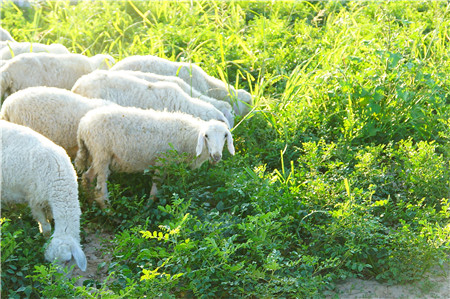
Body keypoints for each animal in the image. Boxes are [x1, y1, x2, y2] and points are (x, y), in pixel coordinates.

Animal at [0, 119, 87, 272]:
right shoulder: (35, 199)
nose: (58, 278)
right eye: (52, 261)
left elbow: (51, 217)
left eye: (68, 261)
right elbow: (46, 227)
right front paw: (45, 237)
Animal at [74, 106, 236, 210]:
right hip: (102, 153)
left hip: (99, 155)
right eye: (206, 136)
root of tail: (83, 125)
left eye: (225, 136)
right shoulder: (162, 162)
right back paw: (108, 211)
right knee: (100, 189)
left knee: (87, 177)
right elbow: (155, 190)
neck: (188, 137)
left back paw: (91, 202)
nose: (216, 156)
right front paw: (147, 208)